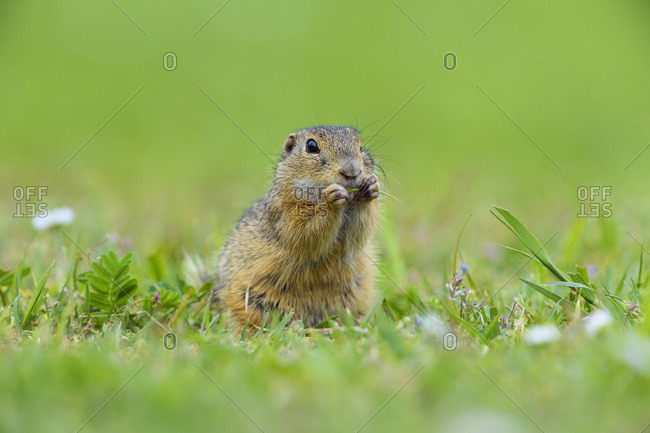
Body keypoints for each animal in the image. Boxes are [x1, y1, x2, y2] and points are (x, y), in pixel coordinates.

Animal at [216, 125, 381, 331]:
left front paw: (370, 187)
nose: (352, 172)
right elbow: (303, 233)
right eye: (311, 146)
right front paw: (332, 198)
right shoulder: (285, 211)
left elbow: (358, 232)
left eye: (360, 146)